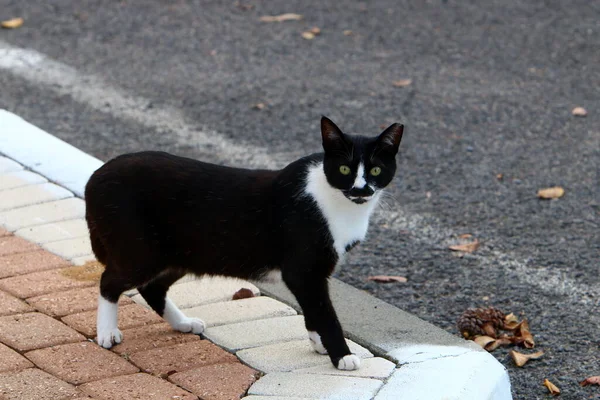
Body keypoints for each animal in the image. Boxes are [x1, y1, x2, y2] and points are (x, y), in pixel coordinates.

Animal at [84, 116, 404, 372]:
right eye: (344, 170)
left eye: (376, 171)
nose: (361, 189)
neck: (340, 204)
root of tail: (95, 177)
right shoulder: (303, 271)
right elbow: (325, 313)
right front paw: (342, 356)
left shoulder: (310, 275)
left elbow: (314, 310)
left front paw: (320, 344)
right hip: (141, 252)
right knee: (109, 281)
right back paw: (107, 333)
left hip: (181, 253)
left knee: (152, 288)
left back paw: (183, 323)